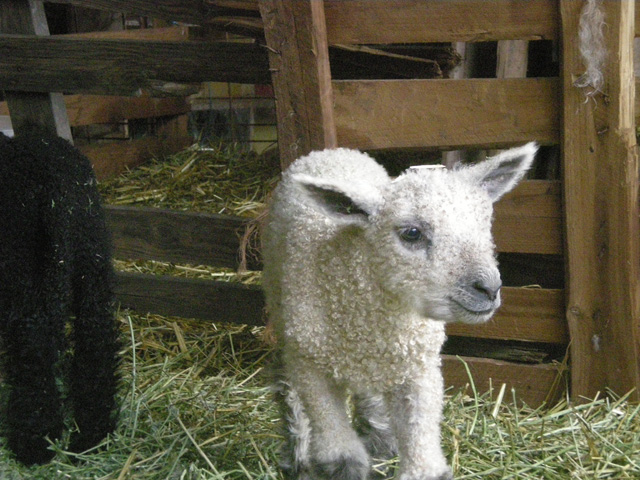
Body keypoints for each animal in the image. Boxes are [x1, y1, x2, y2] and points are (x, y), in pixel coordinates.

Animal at [0, 128, 120, 464]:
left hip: (27, 267)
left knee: (33, 342)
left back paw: (34, 441)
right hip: (91, 251)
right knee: (97, 333)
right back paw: (91, 434)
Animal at [262, 143, 536, 480]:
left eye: (484, 223)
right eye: (412, 233)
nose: (489, 288)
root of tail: (331, 151)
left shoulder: (419, 368)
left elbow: (424, 462)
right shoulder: (310, 366)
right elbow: (341, 456)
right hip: (279, 302)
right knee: (289, 382)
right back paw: (298, 447)